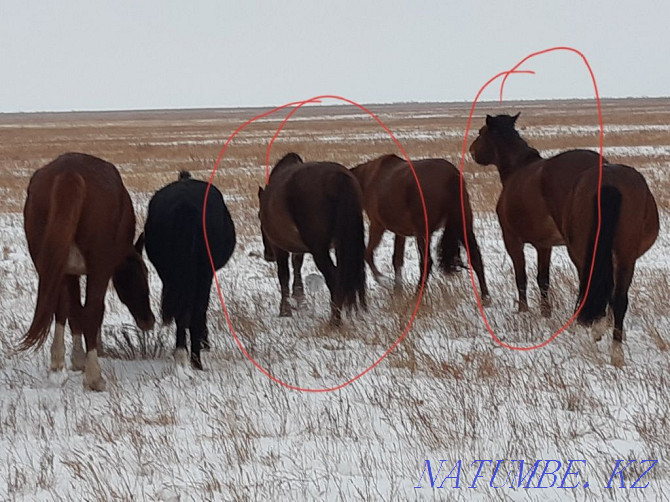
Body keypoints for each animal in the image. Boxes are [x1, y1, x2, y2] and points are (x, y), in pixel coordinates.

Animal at [21, 153, 156, 392]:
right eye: (143, 275)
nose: (148, 320)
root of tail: (69, 174)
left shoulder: (68, 272)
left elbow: (70, 309)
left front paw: (73, 360)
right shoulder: (99, 270)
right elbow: (87, 310)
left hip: (48, 263)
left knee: (60, 306)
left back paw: (58, 367)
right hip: (99, 268)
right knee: (93, 311)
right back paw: (95, 377)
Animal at [144, 171, 236, 370]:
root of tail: (184, 206)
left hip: (172, 273)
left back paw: (182, 353)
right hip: (202, 272)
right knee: (196, 309)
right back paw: (196, 359)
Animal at [260, 153, 368, 326]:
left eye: (259, 217)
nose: (268, 255)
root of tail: (336, 177)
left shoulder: (279, 247)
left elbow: (284, 276)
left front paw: (285, 311)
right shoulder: (299, 248)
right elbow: (297, 266)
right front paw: (299, 300)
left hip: (320, 250)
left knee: (334, 277)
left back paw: (334, 320)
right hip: (343, 245)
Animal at [350, 155, 490, 300]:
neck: (367, 180)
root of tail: (452, 176)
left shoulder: (377, 225)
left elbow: (368, 254)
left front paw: (382, 280)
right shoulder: (400, 232)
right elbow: (397, 259)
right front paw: (397, 289)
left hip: (423, 232)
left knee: (426, 263)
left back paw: (417, 294)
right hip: (463, 226)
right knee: (476, 257)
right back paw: (485, 296)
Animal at [472, 113, 660, 364]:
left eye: (481, 133)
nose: (472, 150)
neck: (517, 170)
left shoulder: (512, 239)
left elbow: (522, 277)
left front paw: (523, 311)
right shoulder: (544, 245)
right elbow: (543, 278)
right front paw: (545, 312)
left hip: (581, 251)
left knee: (588, 285)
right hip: (625, 255)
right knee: (618, 297)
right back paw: (615, 347)